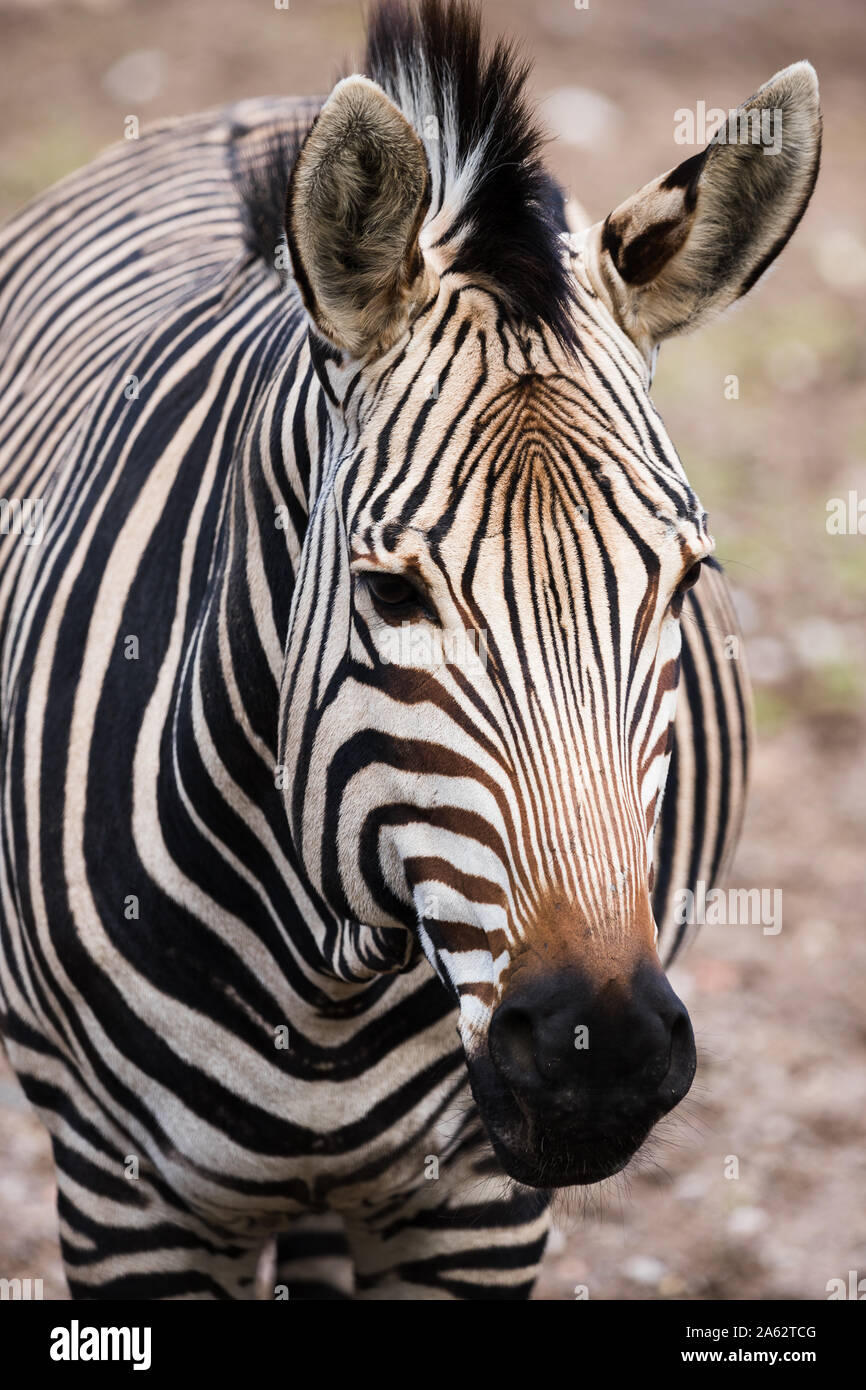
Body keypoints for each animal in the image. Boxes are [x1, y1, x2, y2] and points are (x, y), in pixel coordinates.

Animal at [0, 0, 819, 1300]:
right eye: (388, 590)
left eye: (685, 585)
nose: (599, 1053)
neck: (325, 977)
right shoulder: (127, 1197)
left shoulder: (474, 1199)